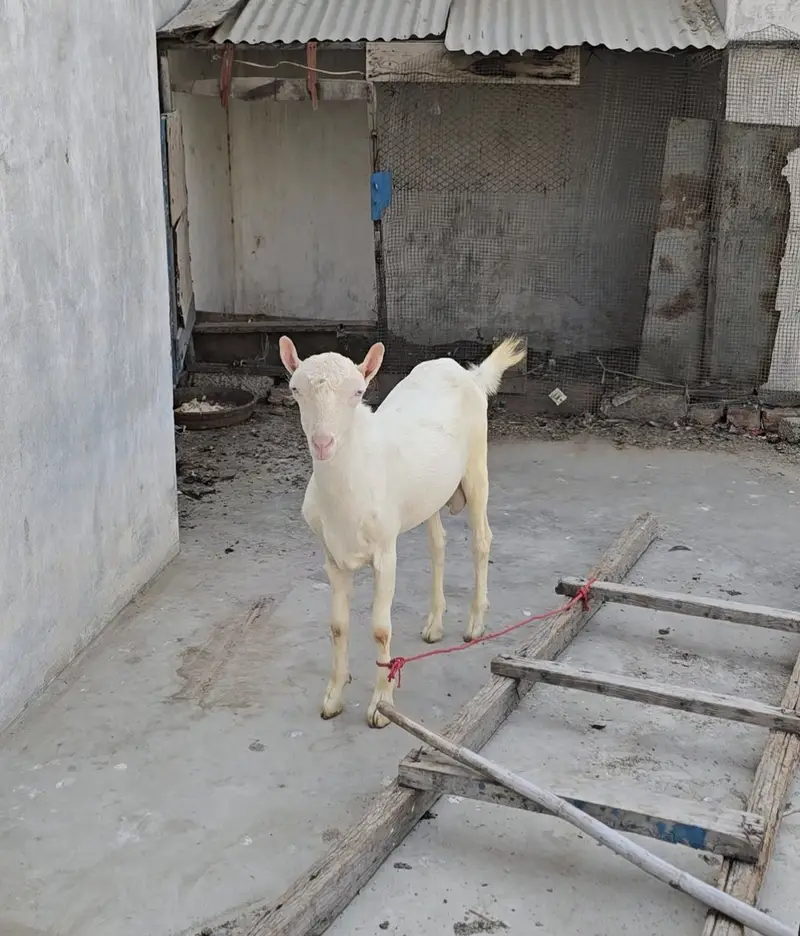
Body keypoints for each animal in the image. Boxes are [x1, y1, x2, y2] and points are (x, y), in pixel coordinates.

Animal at [279, 335, 527, 728]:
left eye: (358, 392)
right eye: (295, 390)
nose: (323, 442)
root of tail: (469, 374)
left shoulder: (385, 552)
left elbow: (381, 629)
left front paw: (381, 705)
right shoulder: (332, 557)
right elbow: (337, 626)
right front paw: (333, 698)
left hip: (477, 466)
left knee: (481, 540)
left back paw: (475, 624)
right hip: (430, 494)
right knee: (438, 544)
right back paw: (435, 625)